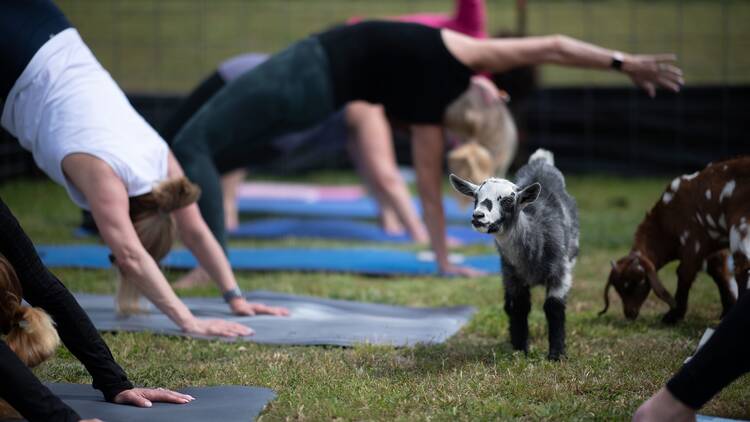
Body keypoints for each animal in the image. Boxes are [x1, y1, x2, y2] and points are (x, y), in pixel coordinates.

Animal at [450, 149, 580, 360]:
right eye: (476, 198)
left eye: (508, 200)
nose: (478, 216)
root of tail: (541, 161)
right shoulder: (512, 276)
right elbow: (519, 307)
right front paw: (520, 349)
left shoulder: (560, 272)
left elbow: (554, 308)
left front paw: (556, 355)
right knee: (508, 305)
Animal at [604, 157, 750, 324]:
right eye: (618, 288)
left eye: (637, 283)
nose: (629, 314)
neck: (665, 221)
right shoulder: (712, 248)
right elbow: (719, 272)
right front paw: (726, 310)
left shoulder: (692, 242)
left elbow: (684, 274)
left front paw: (672, 316)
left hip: (740, 226)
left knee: (743, 266)